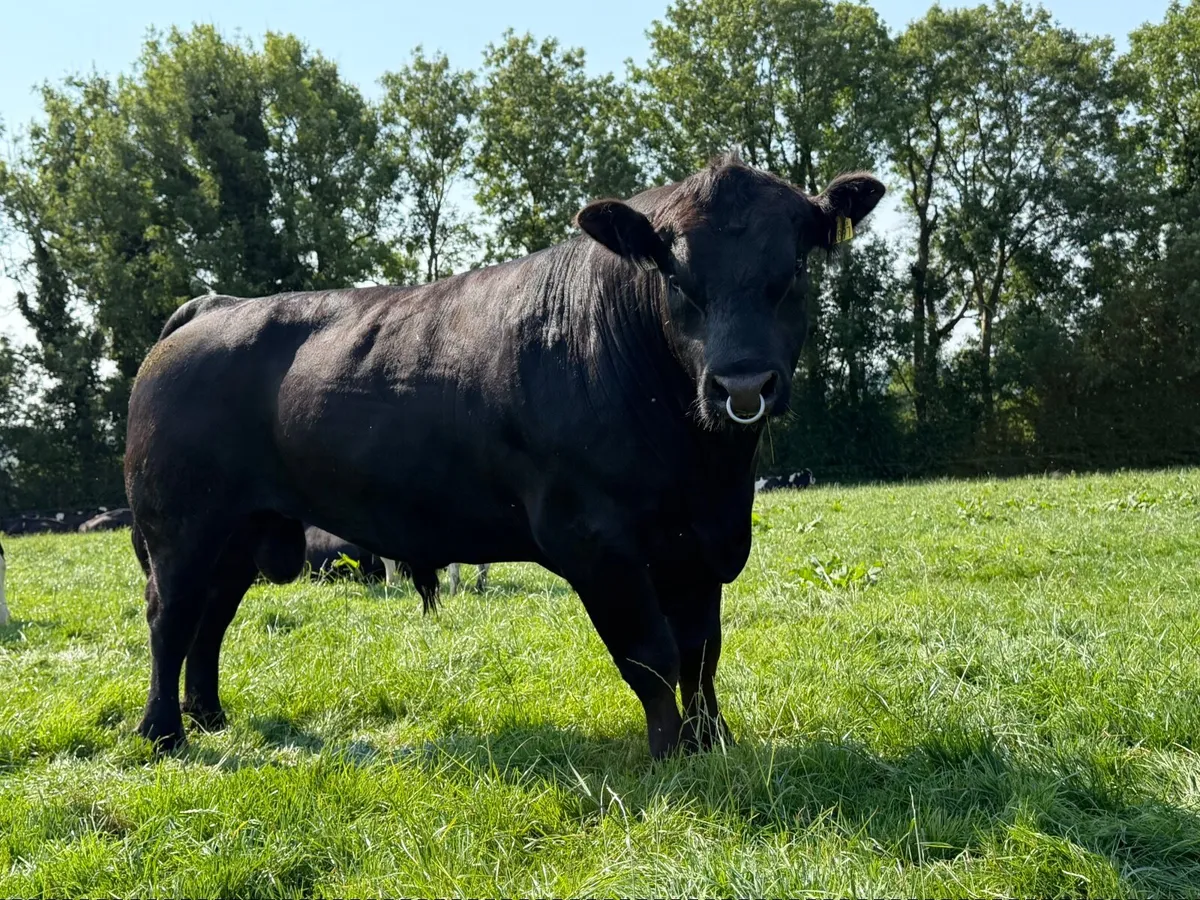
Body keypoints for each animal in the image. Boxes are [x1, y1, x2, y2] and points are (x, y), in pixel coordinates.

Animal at [124, 153, 885, 758]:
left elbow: (701, 652)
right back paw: (164, 734)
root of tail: (214, 307)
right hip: (180, 524)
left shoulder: (699, 543)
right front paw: (670, 754)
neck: (704, 468)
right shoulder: (594, 541)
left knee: (211, 616)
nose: (742, 384)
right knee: (171, 614)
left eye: (794, 268)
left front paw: (711, 743)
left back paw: (210, 714)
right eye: (675, 277)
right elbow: (651, 656)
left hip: (241, 528)